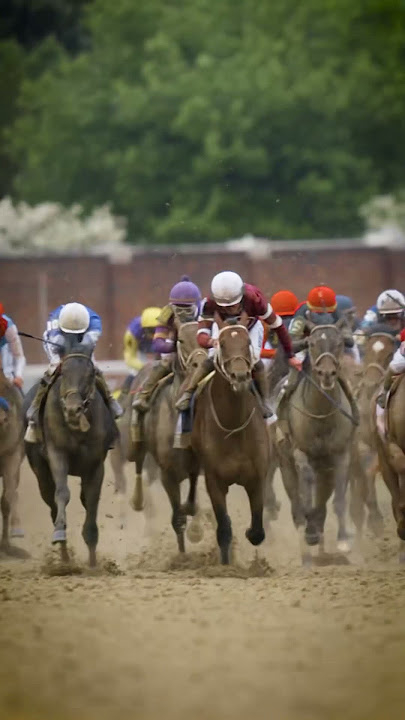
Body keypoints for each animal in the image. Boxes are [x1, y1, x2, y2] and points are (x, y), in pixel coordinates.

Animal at [23, 338, 114, 568]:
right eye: (63, 372)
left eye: (90, 374)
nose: (73, 410)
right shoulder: (57, 453)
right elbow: (62, 493)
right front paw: (60, 533)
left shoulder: (96, 464)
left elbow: (91, 498)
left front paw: (93, 560)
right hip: (40, 471)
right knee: (51, 501)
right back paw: (63, 556)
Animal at [131, 320, 207, 552]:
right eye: (180, 339)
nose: (201, 362)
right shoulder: (167, 473)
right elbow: (178, 519)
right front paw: (182, 555)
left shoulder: (195, 464)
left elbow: (191, 503)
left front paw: (196, 530)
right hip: (138, 445)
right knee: (138, 465)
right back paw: (137, 499)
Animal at [190, 318, 268, 564]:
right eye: (222, 344)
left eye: (247, 343)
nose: (240, 377)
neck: (233, 427)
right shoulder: (214, 481)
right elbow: (224, 527)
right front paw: (226, 565)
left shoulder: (257, 477)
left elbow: (258, 531)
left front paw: (249, 532)